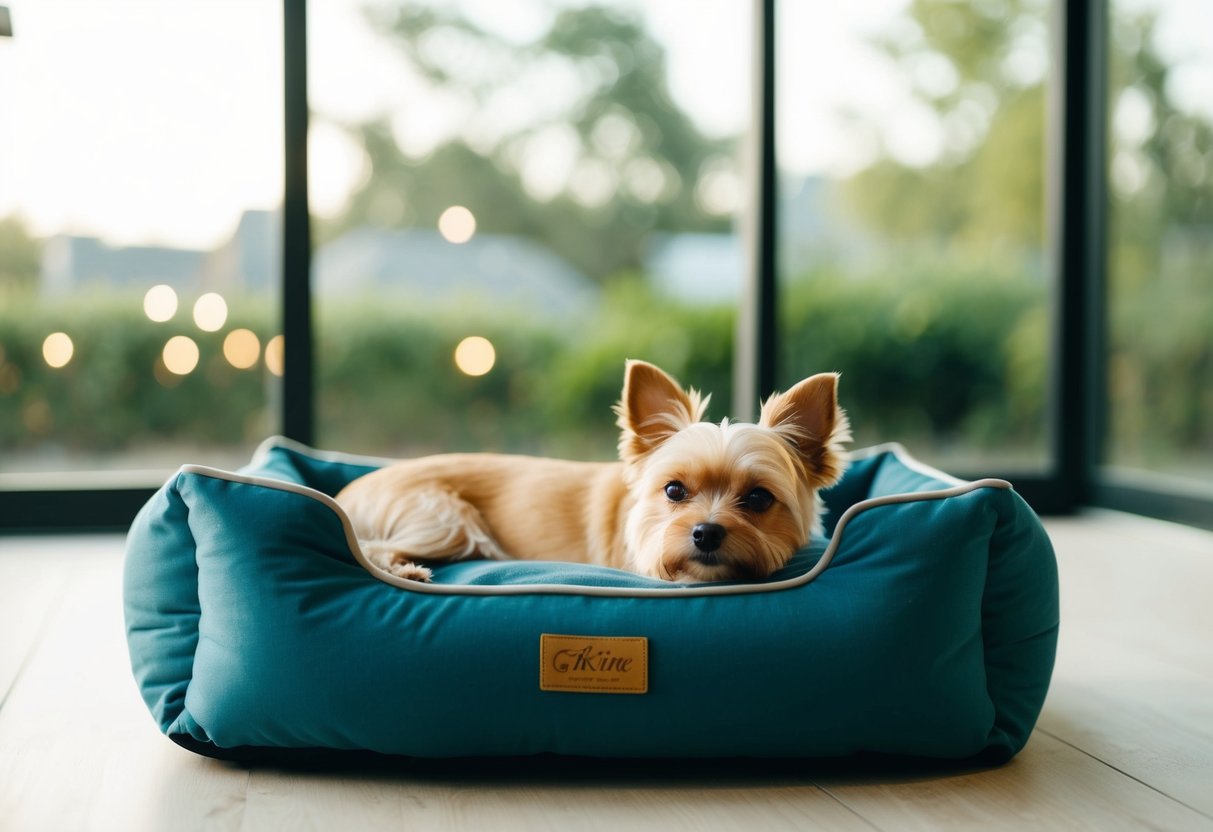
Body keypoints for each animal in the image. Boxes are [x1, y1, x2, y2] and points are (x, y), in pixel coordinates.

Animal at [337, 361, 853, 584]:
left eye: (760, 498)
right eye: (674, 490)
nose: (705, 533)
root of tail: (346, 495)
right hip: (447, 521)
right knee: (372, 547)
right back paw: (406, 571)